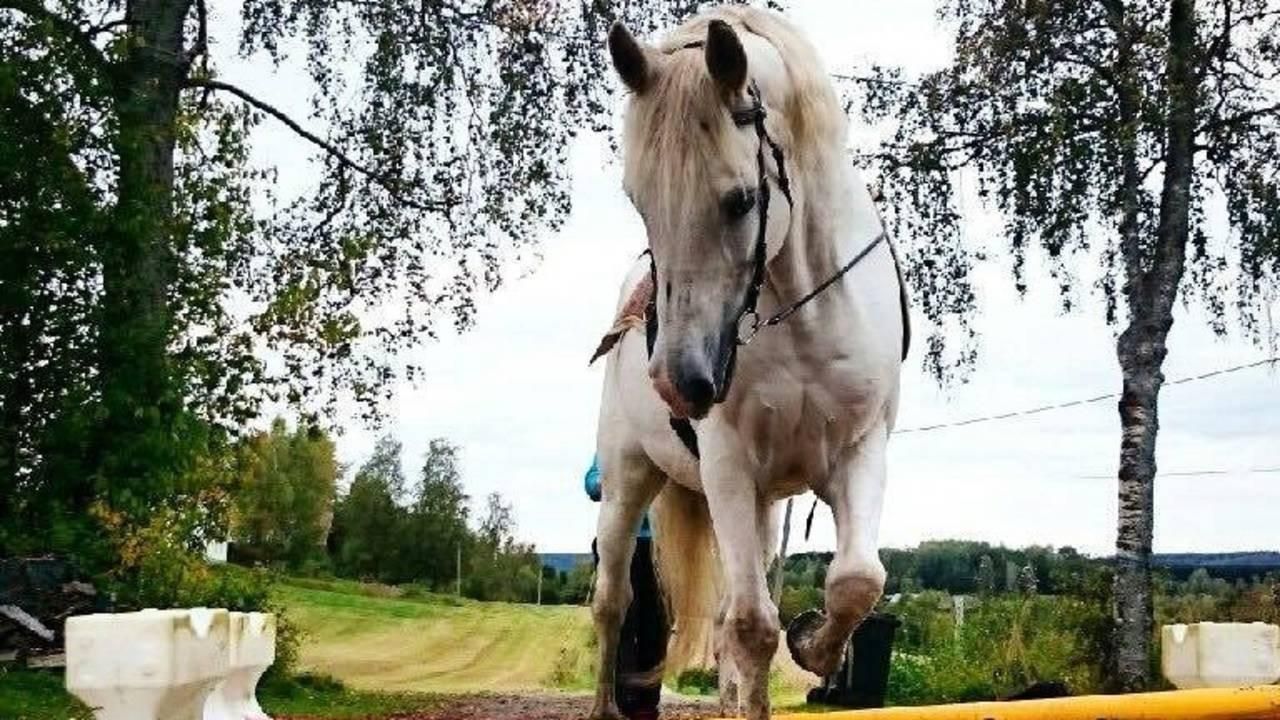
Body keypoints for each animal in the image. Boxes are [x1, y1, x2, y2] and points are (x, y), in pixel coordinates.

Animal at [589, 7, 908, 720]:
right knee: (613, 602)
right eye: (639, 202)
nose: (676, 382)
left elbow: (855, 581)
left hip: (759, 506)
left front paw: (815, 647)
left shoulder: (860, 451)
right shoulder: (729, 466)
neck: (803, 315)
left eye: (739, 201)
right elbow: (753, 626)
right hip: (628, 481)